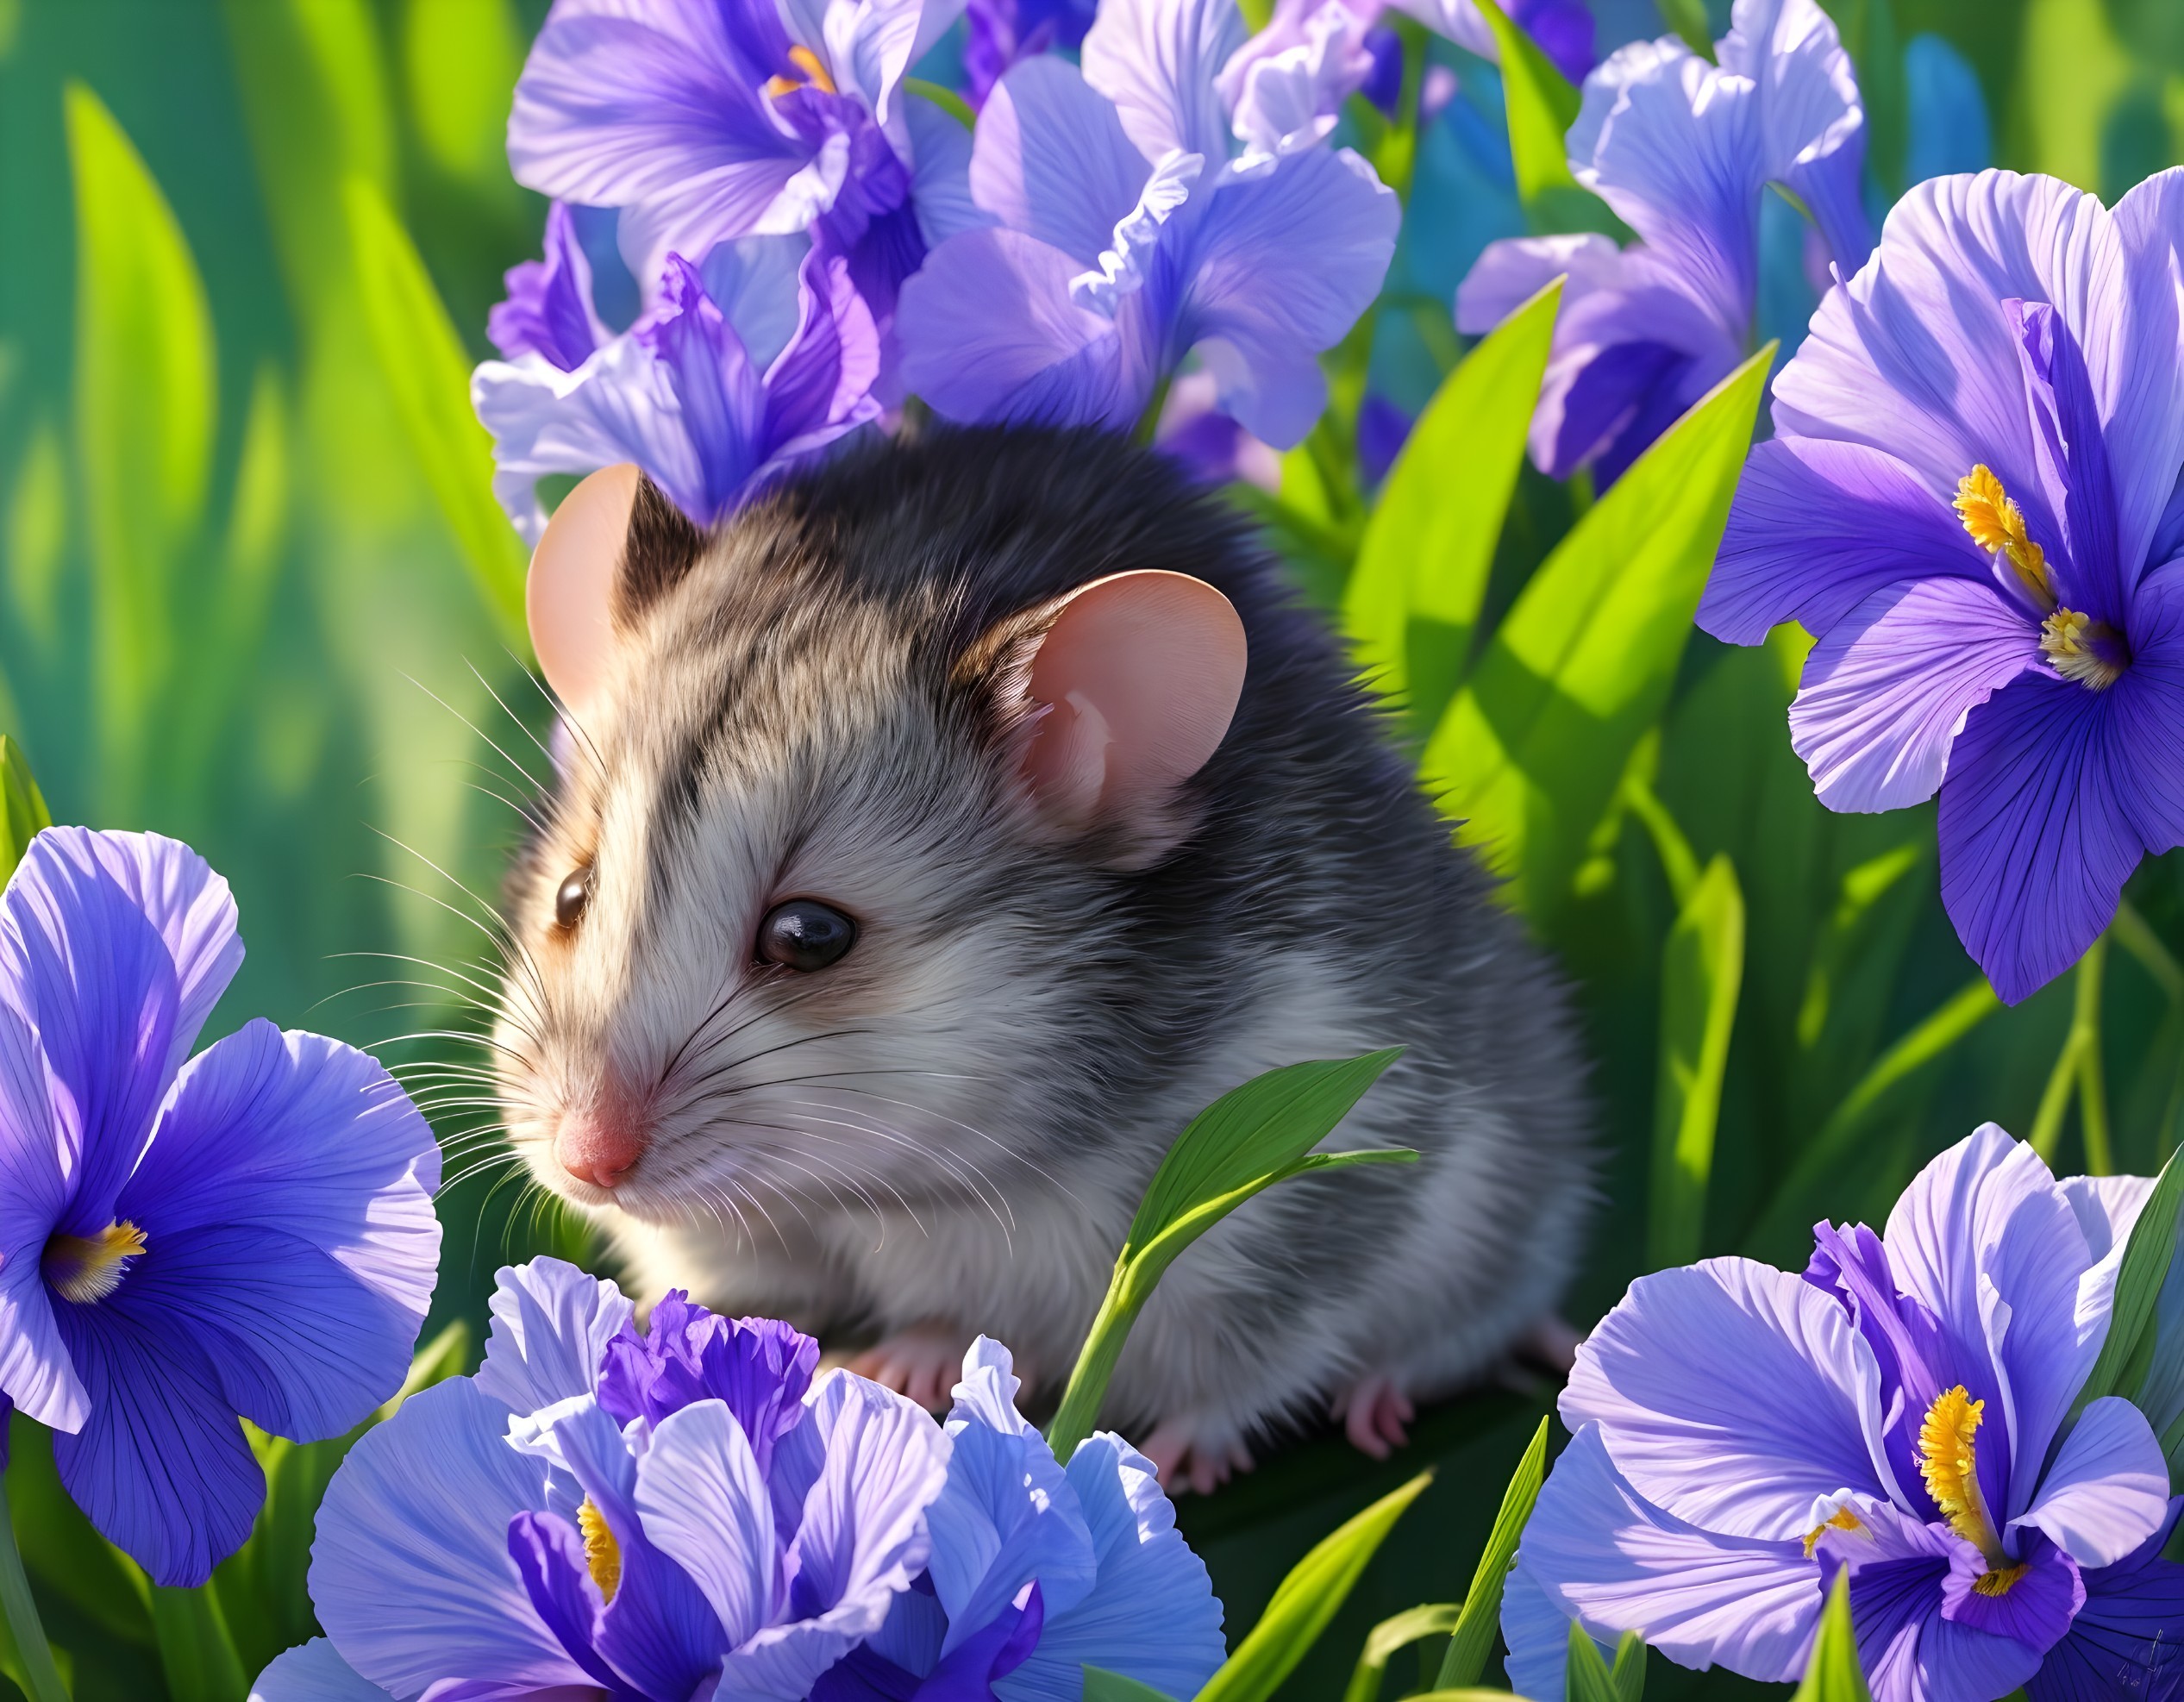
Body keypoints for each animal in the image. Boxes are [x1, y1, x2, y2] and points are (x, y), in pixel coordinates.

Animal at [489, 426, 1590, 1491]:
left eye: (808, 935)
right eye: (572, 896)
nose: (584, 1165)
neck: (902, 1191)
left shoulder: (1297, 1192)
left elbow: (1248, 1367)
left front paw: (1176, 1462)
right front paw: (897, 1362)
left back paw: (1390, 1386)